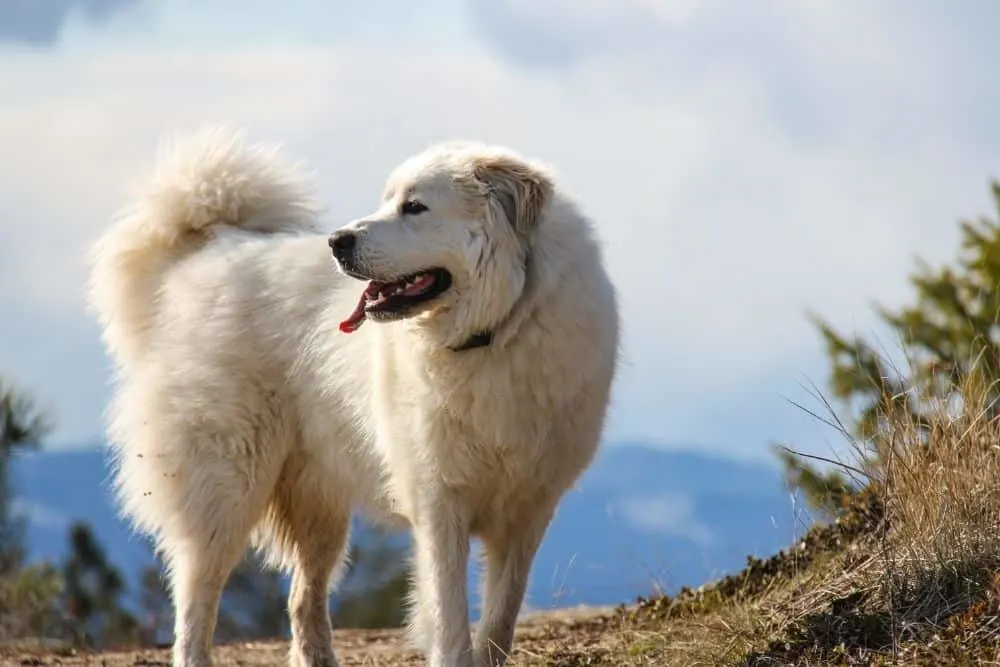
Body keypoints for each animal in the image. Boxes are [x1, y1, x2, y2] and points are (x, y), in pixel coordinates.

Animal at [88, 126, 616, 667]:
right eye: (388, 201)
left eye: (414, 207)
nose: (337, 242)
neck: (495, 332)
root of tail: (209, 250)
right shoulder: (439, 502)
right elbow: (449, 615)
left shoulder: (528, 511)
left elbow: (500, 618)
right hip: (226, 485)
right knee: (197, 600)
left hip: (319, 506)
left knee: (302, 598)